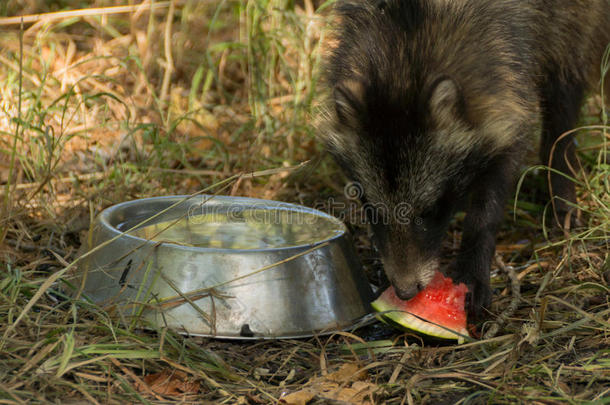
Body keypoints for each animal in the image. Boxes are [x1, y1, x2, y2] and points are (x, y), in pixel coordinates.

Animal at [320, 0, 604, 318]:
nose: (405, 292)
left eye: (429, 211)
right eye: (371, 207)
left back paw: (561, 176)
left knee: (565, 87)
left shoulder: (507, 80)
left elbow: (496, 180)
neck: (405, 48)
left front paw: (475, 255)